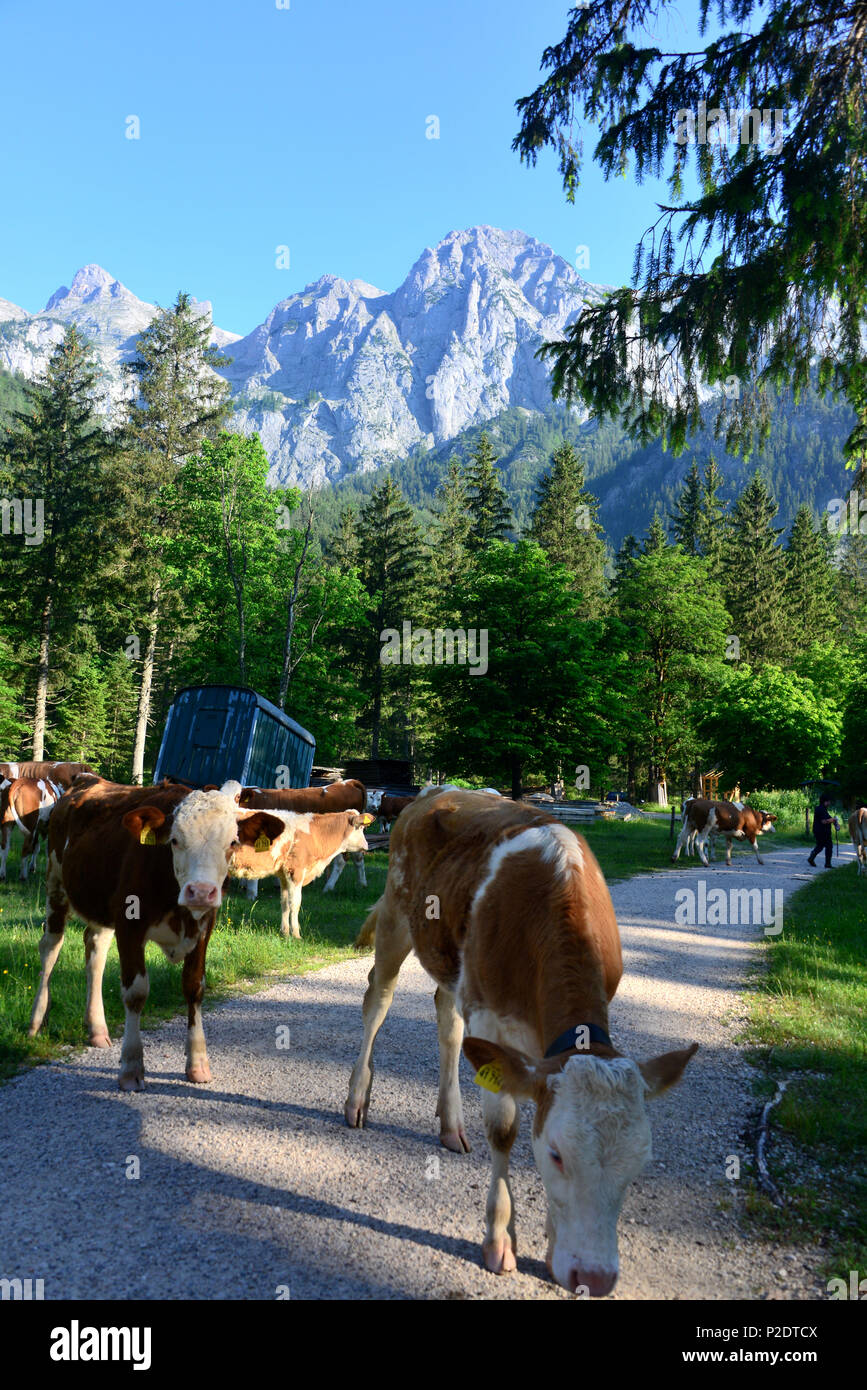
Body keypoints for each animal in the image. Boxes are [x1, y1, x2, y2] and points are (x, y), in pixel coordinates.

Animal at [27, 778, 280, 1089]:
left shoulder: (204, 927)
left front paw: (198, 1064)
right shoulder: (129, 926)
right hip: (55, 885)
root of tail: (87, 779)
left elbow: (194, 987)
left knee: (95, 951)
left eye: (232, 842)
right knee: (50, 948)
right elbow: (135, 993)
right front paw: (131, 1067)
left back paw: (97, 1028)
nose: (201, 892)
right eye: (174, 840)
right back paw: (36, 1021)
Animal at [345, 789, 697, 1295]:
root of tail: (433, 793)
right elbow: (504, 1130)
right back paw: (356, 1099)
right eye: (556, 1155)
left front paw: (551, 1246)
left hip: (456, 968)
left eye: (639, 1164)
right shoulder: (493, 1022)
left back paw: (451, 1124)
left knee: (447, 1020)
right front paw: (499, 1241)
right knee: (378, 999)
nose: (596, 1277)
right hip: (397, 916)